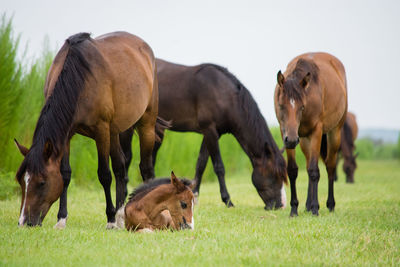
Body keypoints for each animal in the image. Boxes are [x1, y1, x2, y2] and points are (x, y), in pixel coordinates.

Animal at [15, 31, 159, 228]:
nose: (24, 222)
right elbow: (65, 174)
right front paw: (61, 219)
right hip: (115, 131)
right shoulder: (66, 135)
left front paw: (110, 219)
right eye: (22, 181)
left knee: (145, 168)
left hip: (146, 124)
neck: (79, 79)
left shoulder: (101, 130)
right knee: (120, 167)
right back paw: (121, 215)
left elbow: (104, 175)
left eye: (42, 183)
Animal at [119, 59, 288, 211]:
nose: (279, 205)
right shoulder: (210, 130)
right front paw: (228, 201)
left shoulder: (212, 134)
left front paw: (194, 195)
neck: (223, 93)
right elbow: (219, 167)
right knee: (127, 158)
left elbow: (201, 164)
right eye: (274, 175)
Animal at [276, 52, 346, 218]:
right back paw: (307, 205)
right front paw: (294, 209)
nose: (291, 140)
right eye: (281, 106)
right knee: (308, 164)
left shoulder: (316, 133)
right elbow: (293, 170)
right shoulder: (286, 134)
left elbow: (314, 171)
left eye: (302, 107)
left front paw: (315, 209)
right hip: (303, 140)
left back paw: (329, 204)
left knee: (330, 166)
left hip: (334, 133)